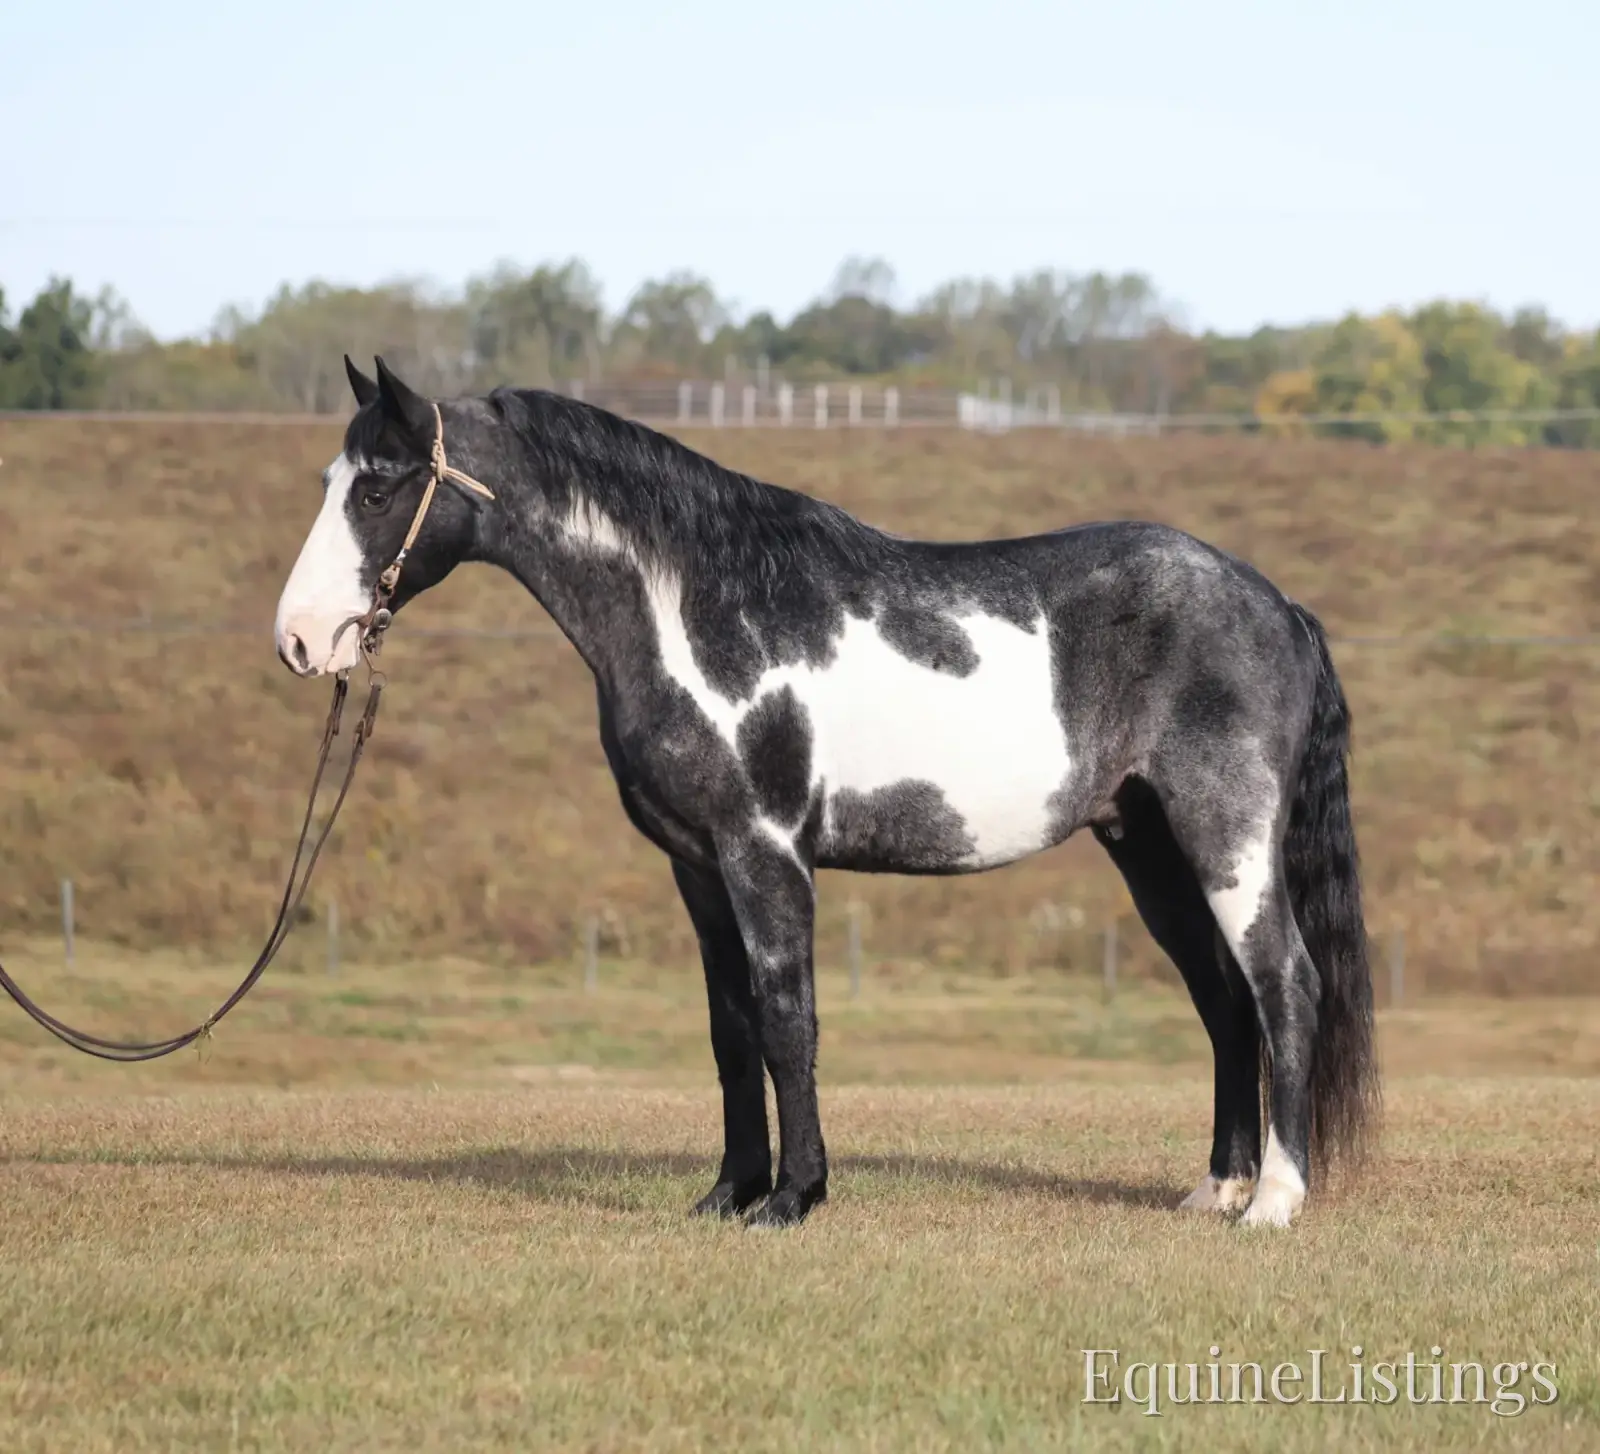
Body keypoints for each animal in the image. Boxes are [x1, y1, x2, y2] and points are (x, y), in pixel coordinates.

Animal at [273, 355, 1380, 1230]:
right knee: (1223, 1000)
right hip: (1147, 846)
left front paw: (794, 1196)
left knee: (1283, 984)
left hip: (1225, 835)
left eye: (377, 489)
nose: (299, 639)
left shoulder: (765, 851)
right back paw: (1216, 1189)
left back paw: (1275, 1200)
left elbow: (786, 1016)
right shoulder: (697, 863)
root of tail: (1275, 602)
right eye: (331, 481)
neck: (700, 610)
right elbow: (730, 1030)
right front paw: (729, 1192)